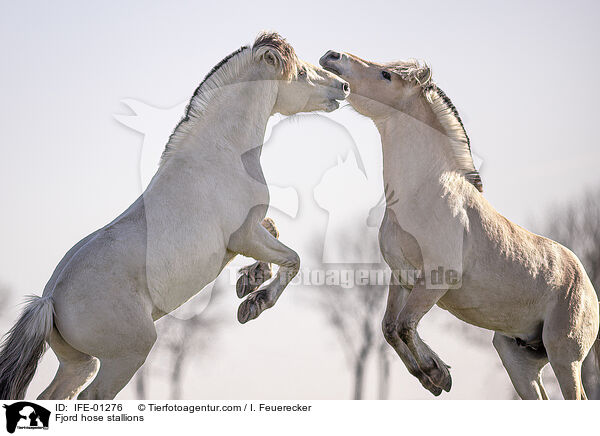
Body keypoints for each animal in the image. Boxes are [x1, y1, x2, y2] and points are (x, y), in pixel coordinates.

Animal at [0, 33, 350, 402]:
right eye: (301, 73)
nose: (343, 87)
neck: (220, 153)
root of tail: (50, 299)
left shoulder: (251, 233)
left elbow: (276, 233)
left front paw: (248, 282)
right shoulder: (244, 235)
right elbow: (293, 259)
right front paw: (253, 305)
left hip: (78, 364)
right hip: (128, 355)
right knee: (93, 397)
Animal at [322, 50, 600, 398]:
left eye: (387, 75)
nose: (332, 56)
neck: (422, 192)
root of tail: (588, 286)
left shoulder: (437, 278)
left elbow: (404, 325)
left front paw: (436, 375)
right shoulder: (403, 278)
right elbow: (390, 329)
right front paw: (435, 374)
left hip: (565, 358)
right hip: (517, 360)